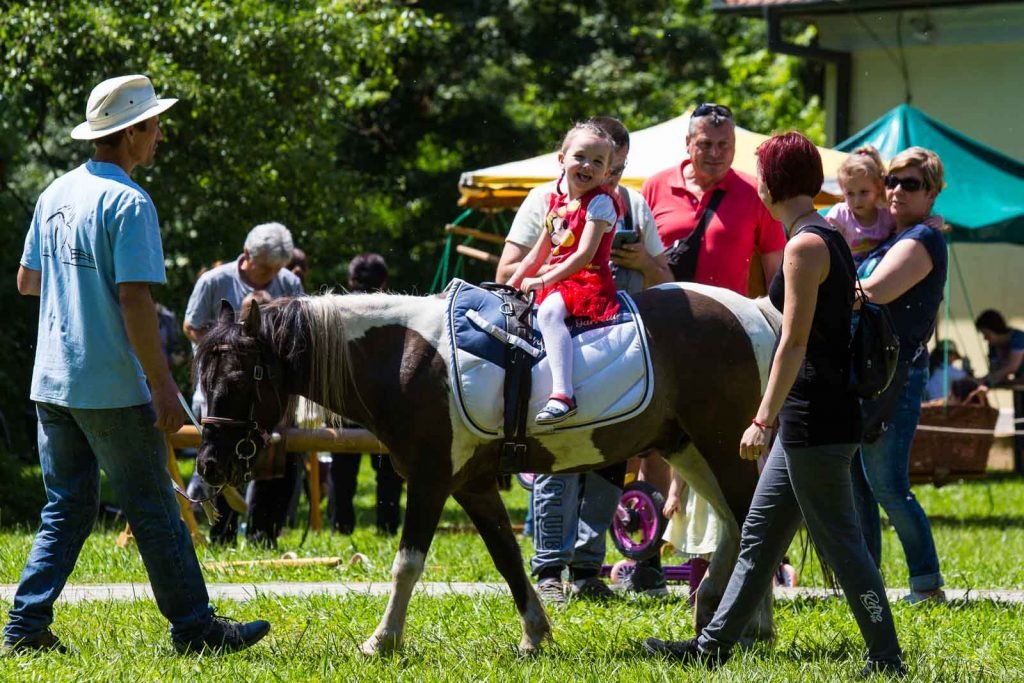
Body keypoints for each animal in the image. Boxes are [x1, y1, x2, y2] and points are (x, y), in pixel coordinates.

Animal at [193, 284, 774, 655]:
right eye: (202, 374)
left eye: (240, 378)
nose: (208, 464)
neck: (405, 357)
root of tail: (753, 310)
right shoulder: (472, 485)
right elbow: (508, 558)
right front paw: (535, 634)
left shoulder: (430, 481)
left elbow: (407, 564)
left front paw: (382, 640)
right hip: (689, 450)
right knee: (736, 525)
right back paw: (719, 615)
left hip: (724, 449)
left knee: (755, 523)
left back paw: (749, 625)